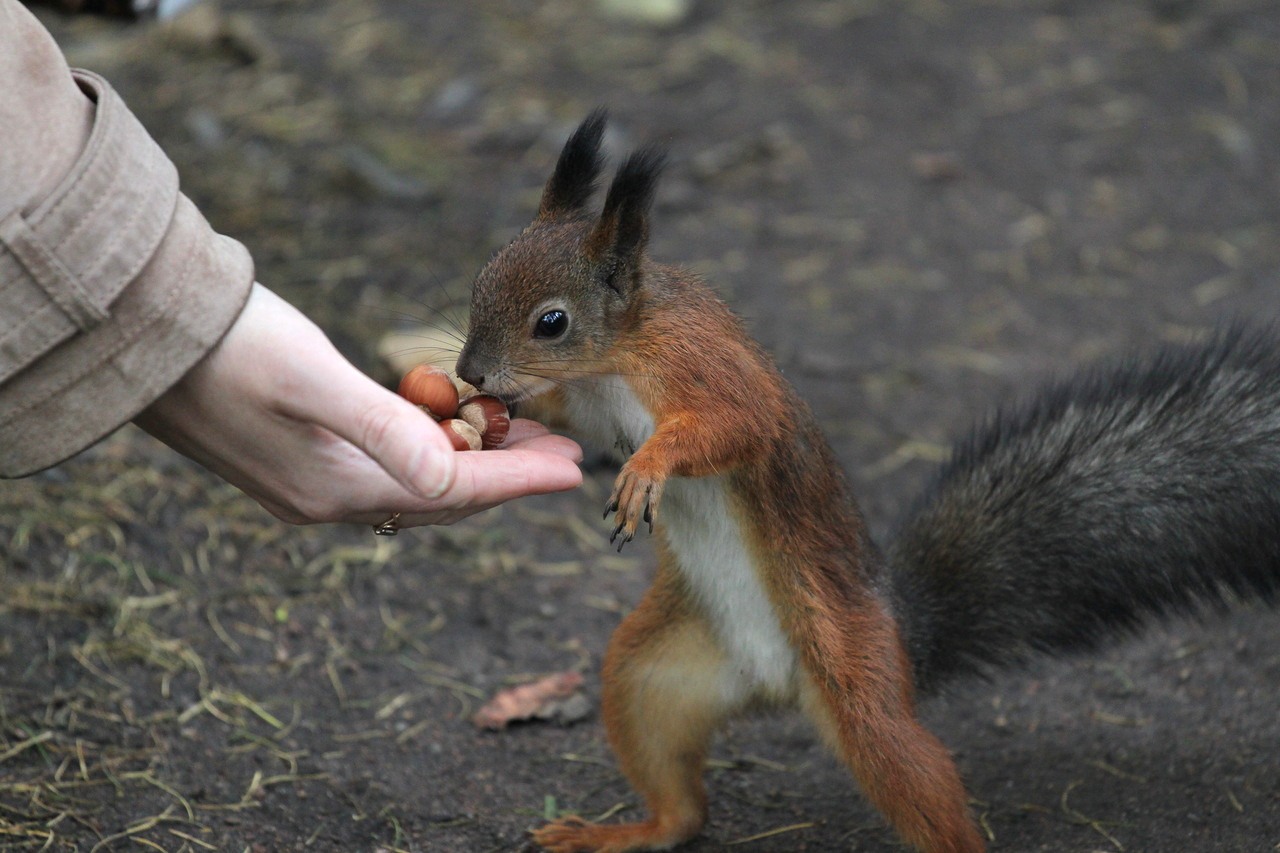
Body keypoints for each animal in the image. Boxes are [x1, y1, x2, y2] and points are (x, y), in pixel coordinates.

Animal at [455, 112, 1280, 850]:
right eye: (480, 278)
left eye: (552, 322)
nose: (471, 371)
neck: (615, 358)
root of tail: (782, 684)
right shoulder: (588, 400)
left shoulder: (703, 365)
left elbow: (735, 424)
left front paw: (649, 466)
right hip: (653, 671)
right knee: (682, 806)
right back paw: (625, 831)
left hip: (857, 675)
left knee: (914, 775)